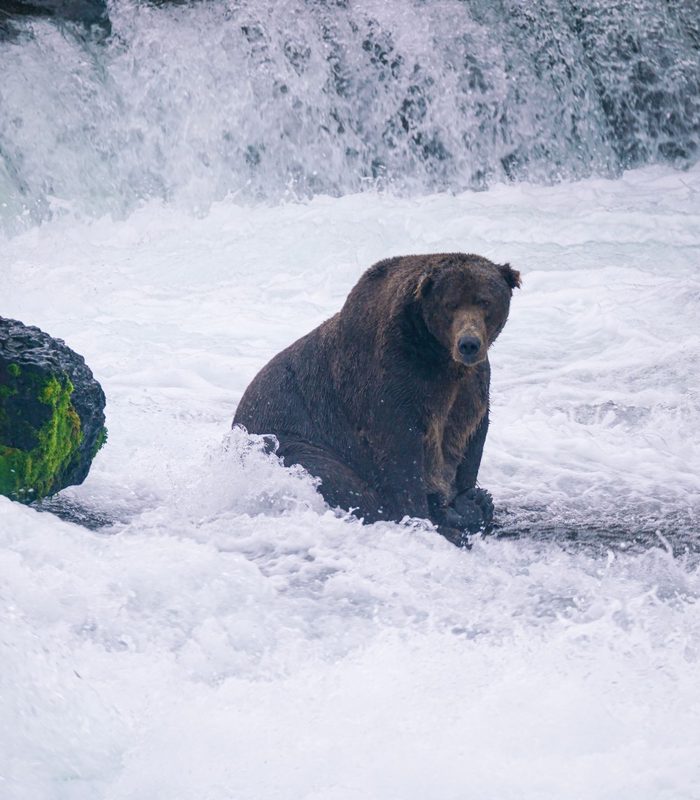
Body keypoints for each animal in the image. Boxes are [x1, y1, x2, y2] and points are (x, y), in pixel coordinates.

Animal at [233, 253, 520, 545]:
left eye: (485, 301)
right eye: (450, 304)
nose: (469, 343)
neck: (438, 355)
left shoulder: (470, 389)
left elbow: (470, 438)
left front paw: (466, 500)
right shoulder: (391, 380)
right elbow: (399, 452)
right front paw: (431, 519)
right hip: (291, 438)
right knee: (334, 477)